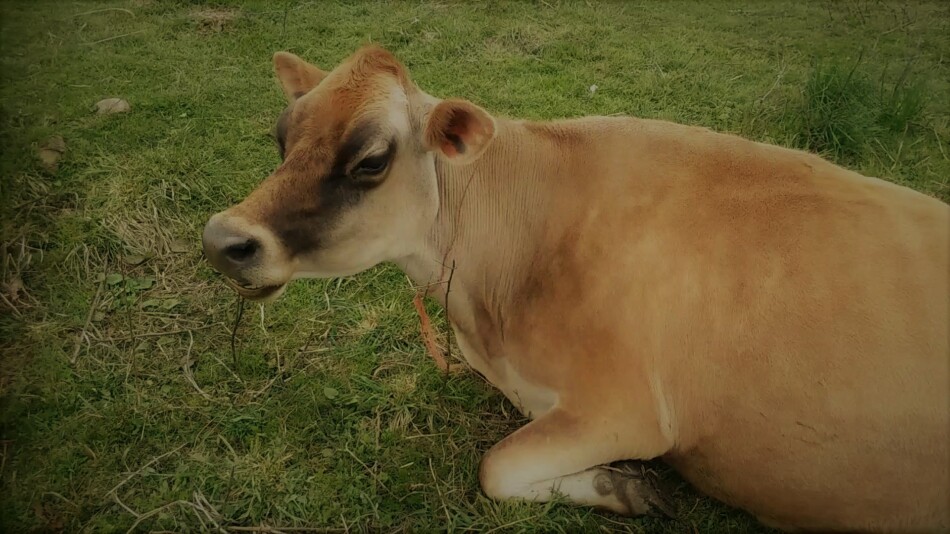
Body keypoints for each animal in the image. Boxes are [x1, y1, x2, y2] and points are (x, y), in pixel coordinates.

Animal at [203, 47, 950, 534]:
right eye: (281, 138)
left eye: (371, 160)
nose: (223, 239)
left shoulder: (627, 409)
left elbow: (496, 468)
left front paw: (625, 487)